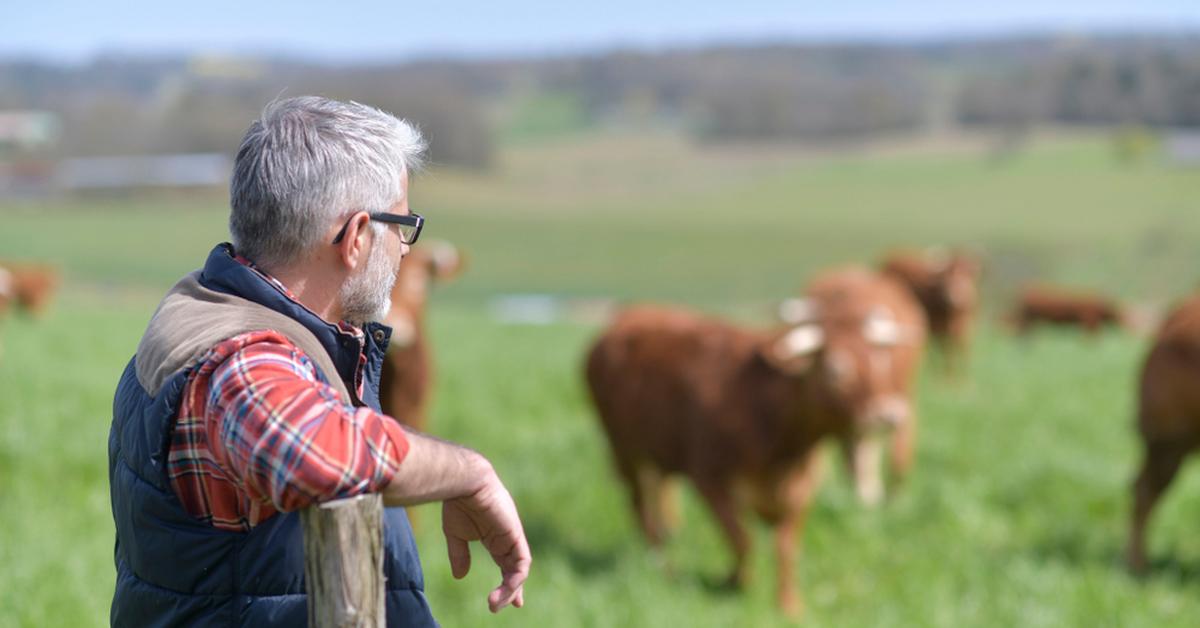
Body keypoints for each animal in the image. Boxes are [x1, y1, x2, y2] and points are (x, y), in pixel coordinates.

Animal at [585, 266, 921, 614]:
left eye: (882, 360)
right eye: (835, 370)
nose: (890, 413)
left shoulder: (802, 489)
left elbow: (786, 547)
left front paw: (789, 605)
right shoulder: (710, 479)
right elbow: (741, 539)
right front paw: (736, 582)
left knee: (660, 488)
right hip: (621, 448)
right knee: (638, 505)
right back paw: (661, 562)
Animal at [878, 249, 979, 379]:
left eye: (967, 275)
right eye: (947, 276)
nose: (954, 296)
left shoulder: (965, 328)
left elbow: (963, 350)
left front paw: (963, 378)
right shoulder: (938, 329)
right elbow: (948, 352)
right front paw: (948, 377)